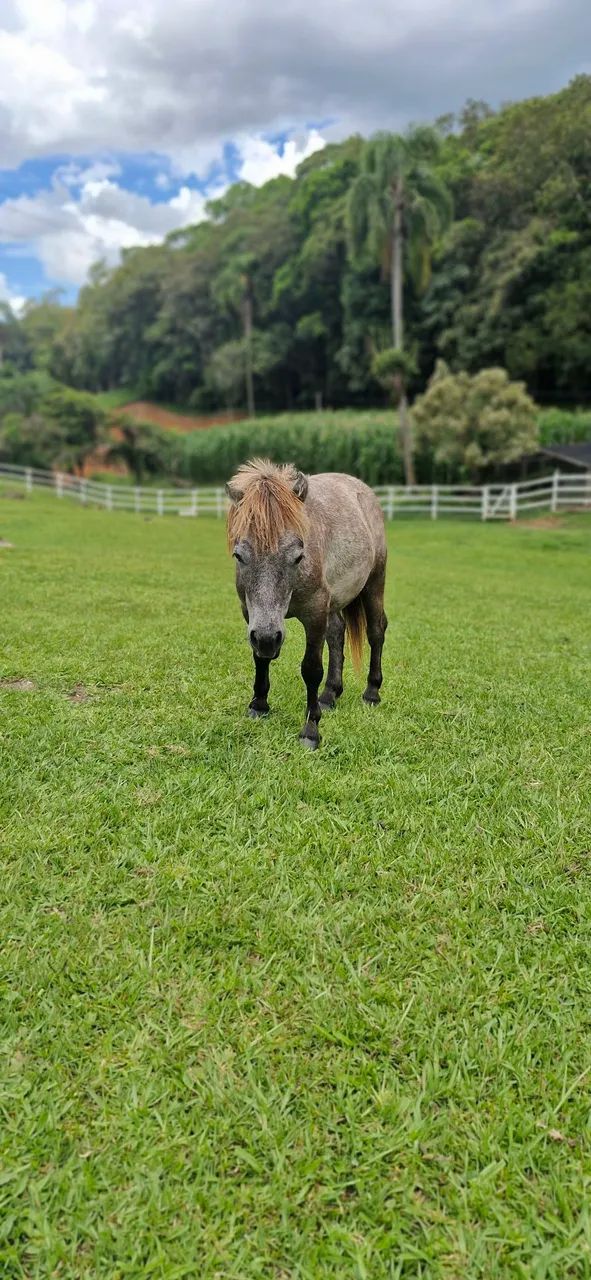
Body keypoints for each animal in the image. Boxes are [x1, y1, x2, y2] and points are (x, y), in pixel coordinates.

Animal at [226, 459, 388, 749]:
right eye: (239, 555)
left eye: (298, 556)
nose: (269, 639)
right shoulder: (251, 614)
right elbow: (259, 658)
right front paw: (259, 705)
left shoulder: (314, 613)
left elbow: (311, 669)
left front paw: (311, 730)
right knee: (337, 634)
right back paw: (330, 694)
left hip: (374, 583)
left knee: (376, 632)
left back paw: (371, 692)